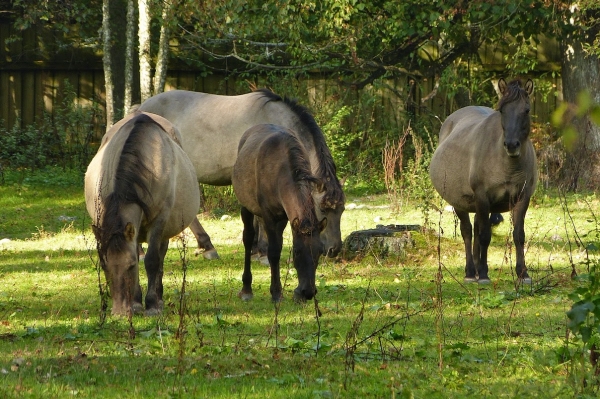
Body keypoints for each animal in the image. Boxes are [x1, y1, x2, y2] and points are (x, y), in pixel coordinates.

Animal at [84, 111, 199, 316]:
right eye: (104, 266)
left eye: (131, 266)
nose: (120, 312)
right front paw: (136, 302)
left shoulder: (160, 221)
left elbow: (152, 260)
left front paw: (152, 304)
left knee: (160, 257)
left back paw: (158, 298)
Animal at [234, 123, 328, 302]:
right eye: (297, 251)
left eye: (320, 251)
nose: (308, 292)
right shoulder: (269, 216)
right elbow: (274, 252)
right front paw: (277, 293)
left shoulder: (285, 217)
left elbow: (278, 246)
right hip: (246, 207)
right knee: (248, 238)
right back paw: (246, 288)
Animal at [428, 78, 536, 284]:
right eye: (502, 110)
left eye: (526, 110)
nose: (511, 145)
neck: (508, 164)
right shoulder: (483, 197)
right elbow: (485, 235)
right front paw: (484, 274)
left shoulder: (522, 198)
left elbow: (518, 235)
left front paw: (523, 273)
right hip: (461, 204)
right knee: (468, 232)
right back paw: (472, 272)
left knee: (477, 229)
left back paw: (477, 269)